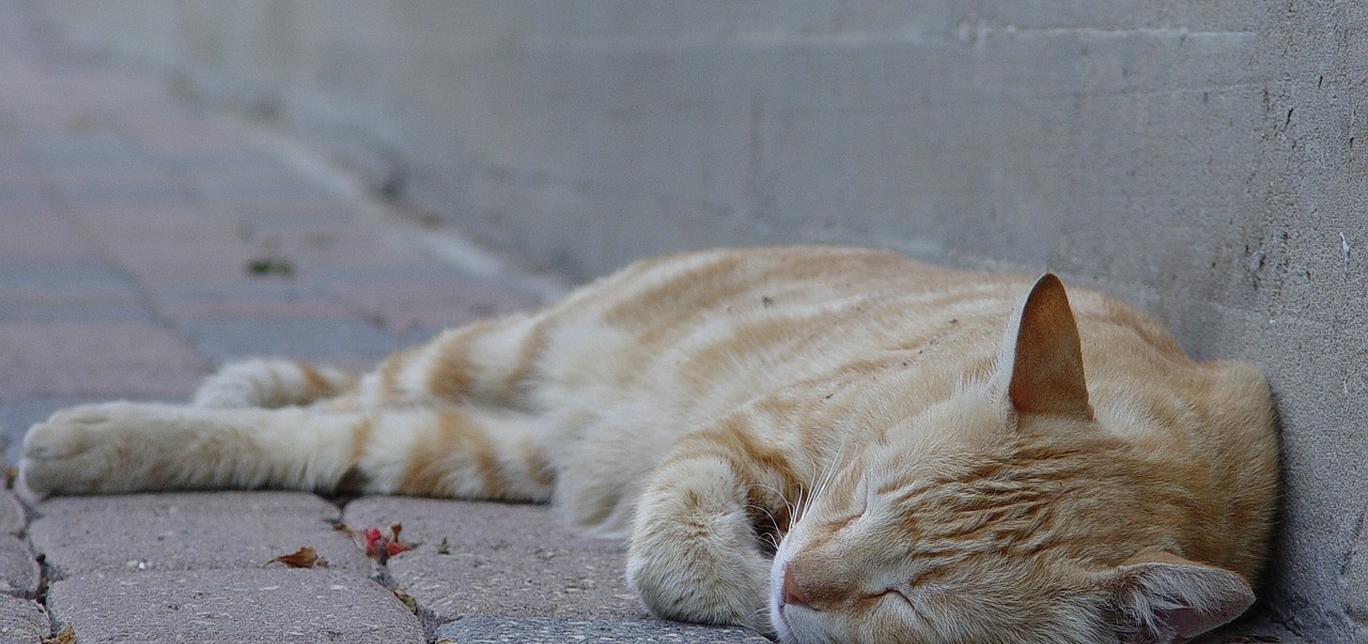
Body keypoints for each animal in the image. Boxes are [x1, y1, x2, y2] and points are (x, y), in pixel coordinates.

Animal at [21, 248, 1274, 644]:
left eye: (911, 598)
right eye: (862, 495)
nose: (799, 579)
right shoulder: (736, 433)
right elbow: (677, 542)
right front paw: (739, 582)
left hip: (468, 448)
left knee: (332, 432)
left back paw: (101, 439)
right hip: (498, 349)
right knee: (347, 387)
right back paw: (134, 415)